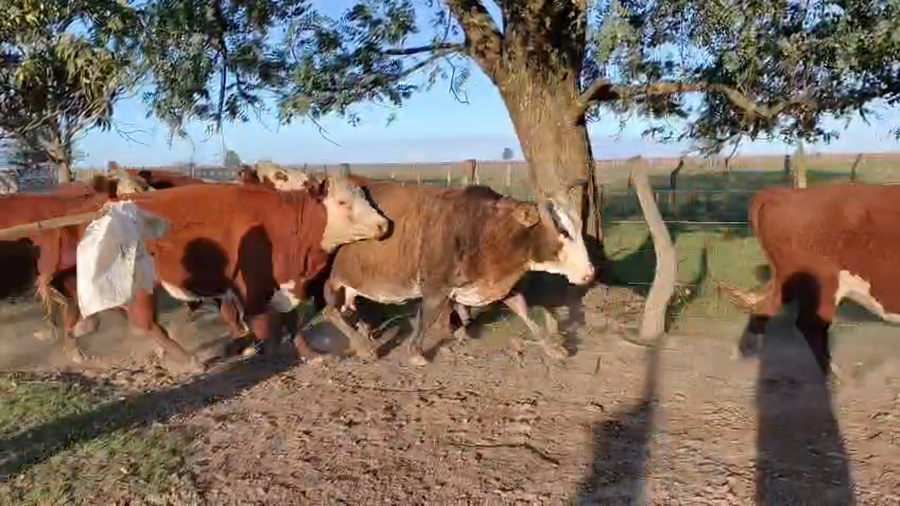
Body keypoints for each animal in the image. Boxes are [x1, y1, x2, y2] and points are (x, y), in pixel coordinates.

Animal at [50, 175, 389, 371]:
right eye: (343, 202)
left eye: (366, 198)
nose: (384, 225)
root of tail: (105, 206)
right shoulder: (252, 288)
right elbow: (267, 324)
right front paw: (255, 346)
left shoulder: (287, 285)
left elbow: (292, 322)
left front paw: (309, 352)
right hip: (140, 282)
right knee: (145, 321)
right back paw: (189, 360)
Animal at [318, 182, 595, 365]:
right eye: (563, 232)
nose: (589, 273)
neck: (484, 230)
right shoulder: (435, 287)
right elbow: (426, 318)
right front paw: (416, 351)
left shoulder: (498, 283)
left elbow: (523, 310)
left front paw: (552, 346)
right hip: (335, 282)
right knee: (330, 312)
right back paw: (363, 346)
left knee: (348, 311)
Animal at [719, 183, 900, 378]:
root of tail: (785, 193)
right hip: (823, 282)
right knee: (810, 324)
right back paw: (833, 374)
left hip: (787, 279)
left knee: (763, 305)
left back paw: (747, 351)